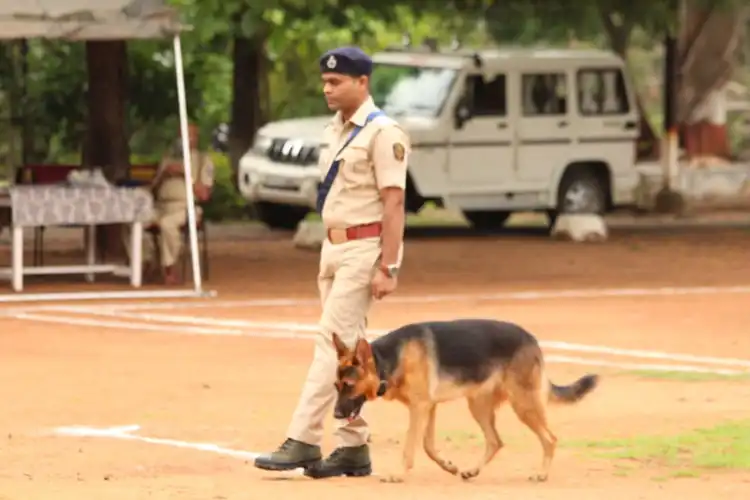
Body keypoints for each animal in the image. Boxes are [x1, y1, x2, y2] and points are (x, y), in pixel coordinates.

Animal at [334, 320, 600, 484]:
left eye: (349, 385)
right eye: (336, 386)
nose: (336, 415)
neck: (387, 360)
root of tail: (532, 340)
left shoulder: (420, 408)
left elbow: (410, 448)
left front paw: (398, 475)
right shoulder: (428, 407)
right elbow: (428, 446)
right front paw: (449, 466)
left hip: (523, 405)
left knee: (550, 439)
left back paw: (541, 474)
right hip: (479, 406)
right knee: (495, 441)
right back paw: (473, 470)